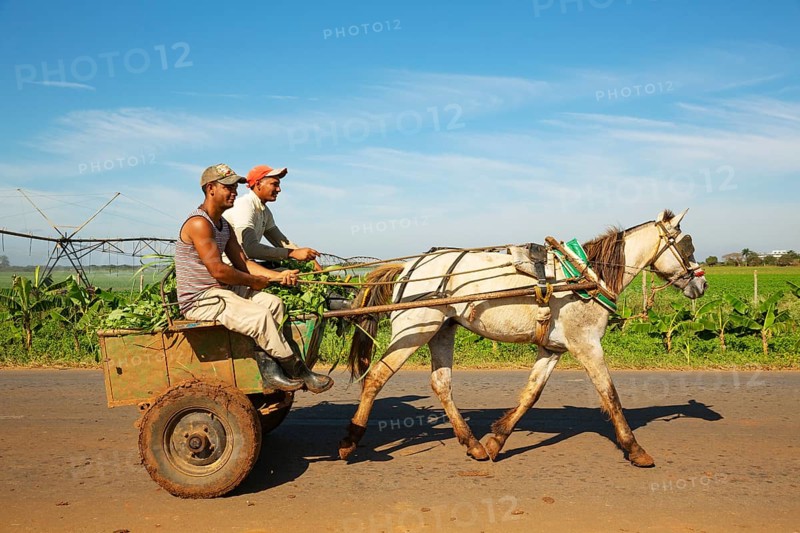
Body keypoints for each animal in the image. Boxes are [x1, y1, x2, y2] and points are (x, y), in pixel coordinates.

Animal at [337, 209, 707, 467]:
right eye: (686, 244)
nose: (702, 284)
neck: (587, 275)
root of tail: (407, 267)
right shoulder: (586, 344)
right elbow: (610, 394)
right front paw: (635, 449)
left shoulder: (553, 348)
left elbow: (531, 394)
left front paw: (496, 440)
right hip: (415, 330)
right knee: (376, 377)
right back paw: (350, 439)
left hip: (441, 330)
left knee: (441, 384)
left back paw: (472, 444)